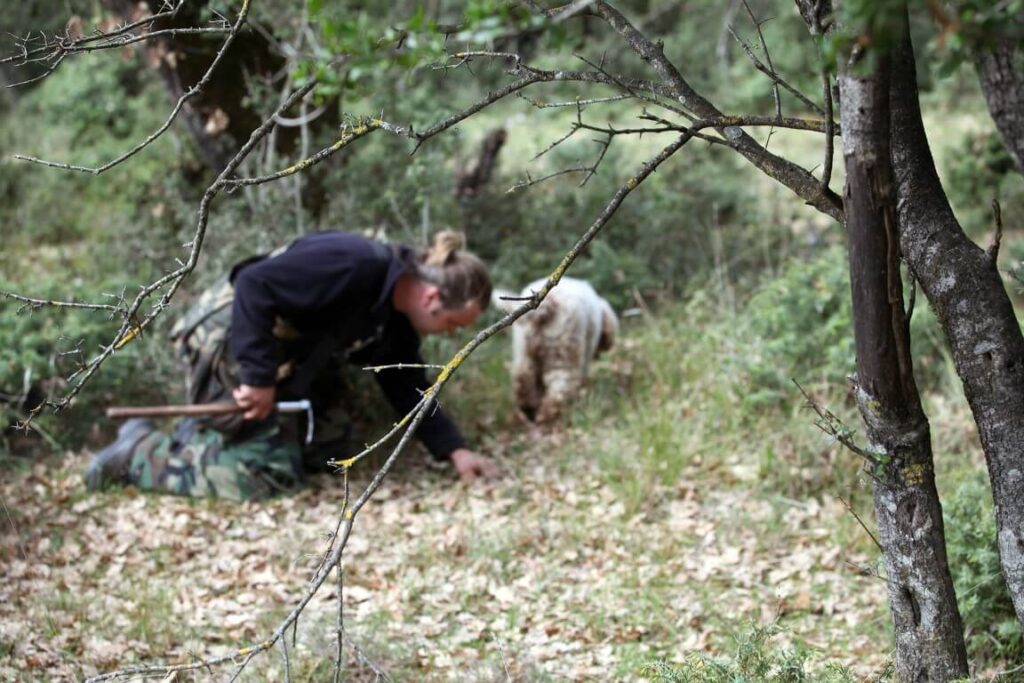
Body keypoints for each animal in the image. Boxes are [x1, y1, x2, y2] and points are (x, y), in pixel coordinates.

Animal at [493, 276, 614, 421]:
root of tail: (548, 303)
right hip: (562, 350)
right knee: (558, 391)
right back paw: (550, 418)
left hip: (523, 347)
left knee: (523, 377)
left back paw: (527, 409)